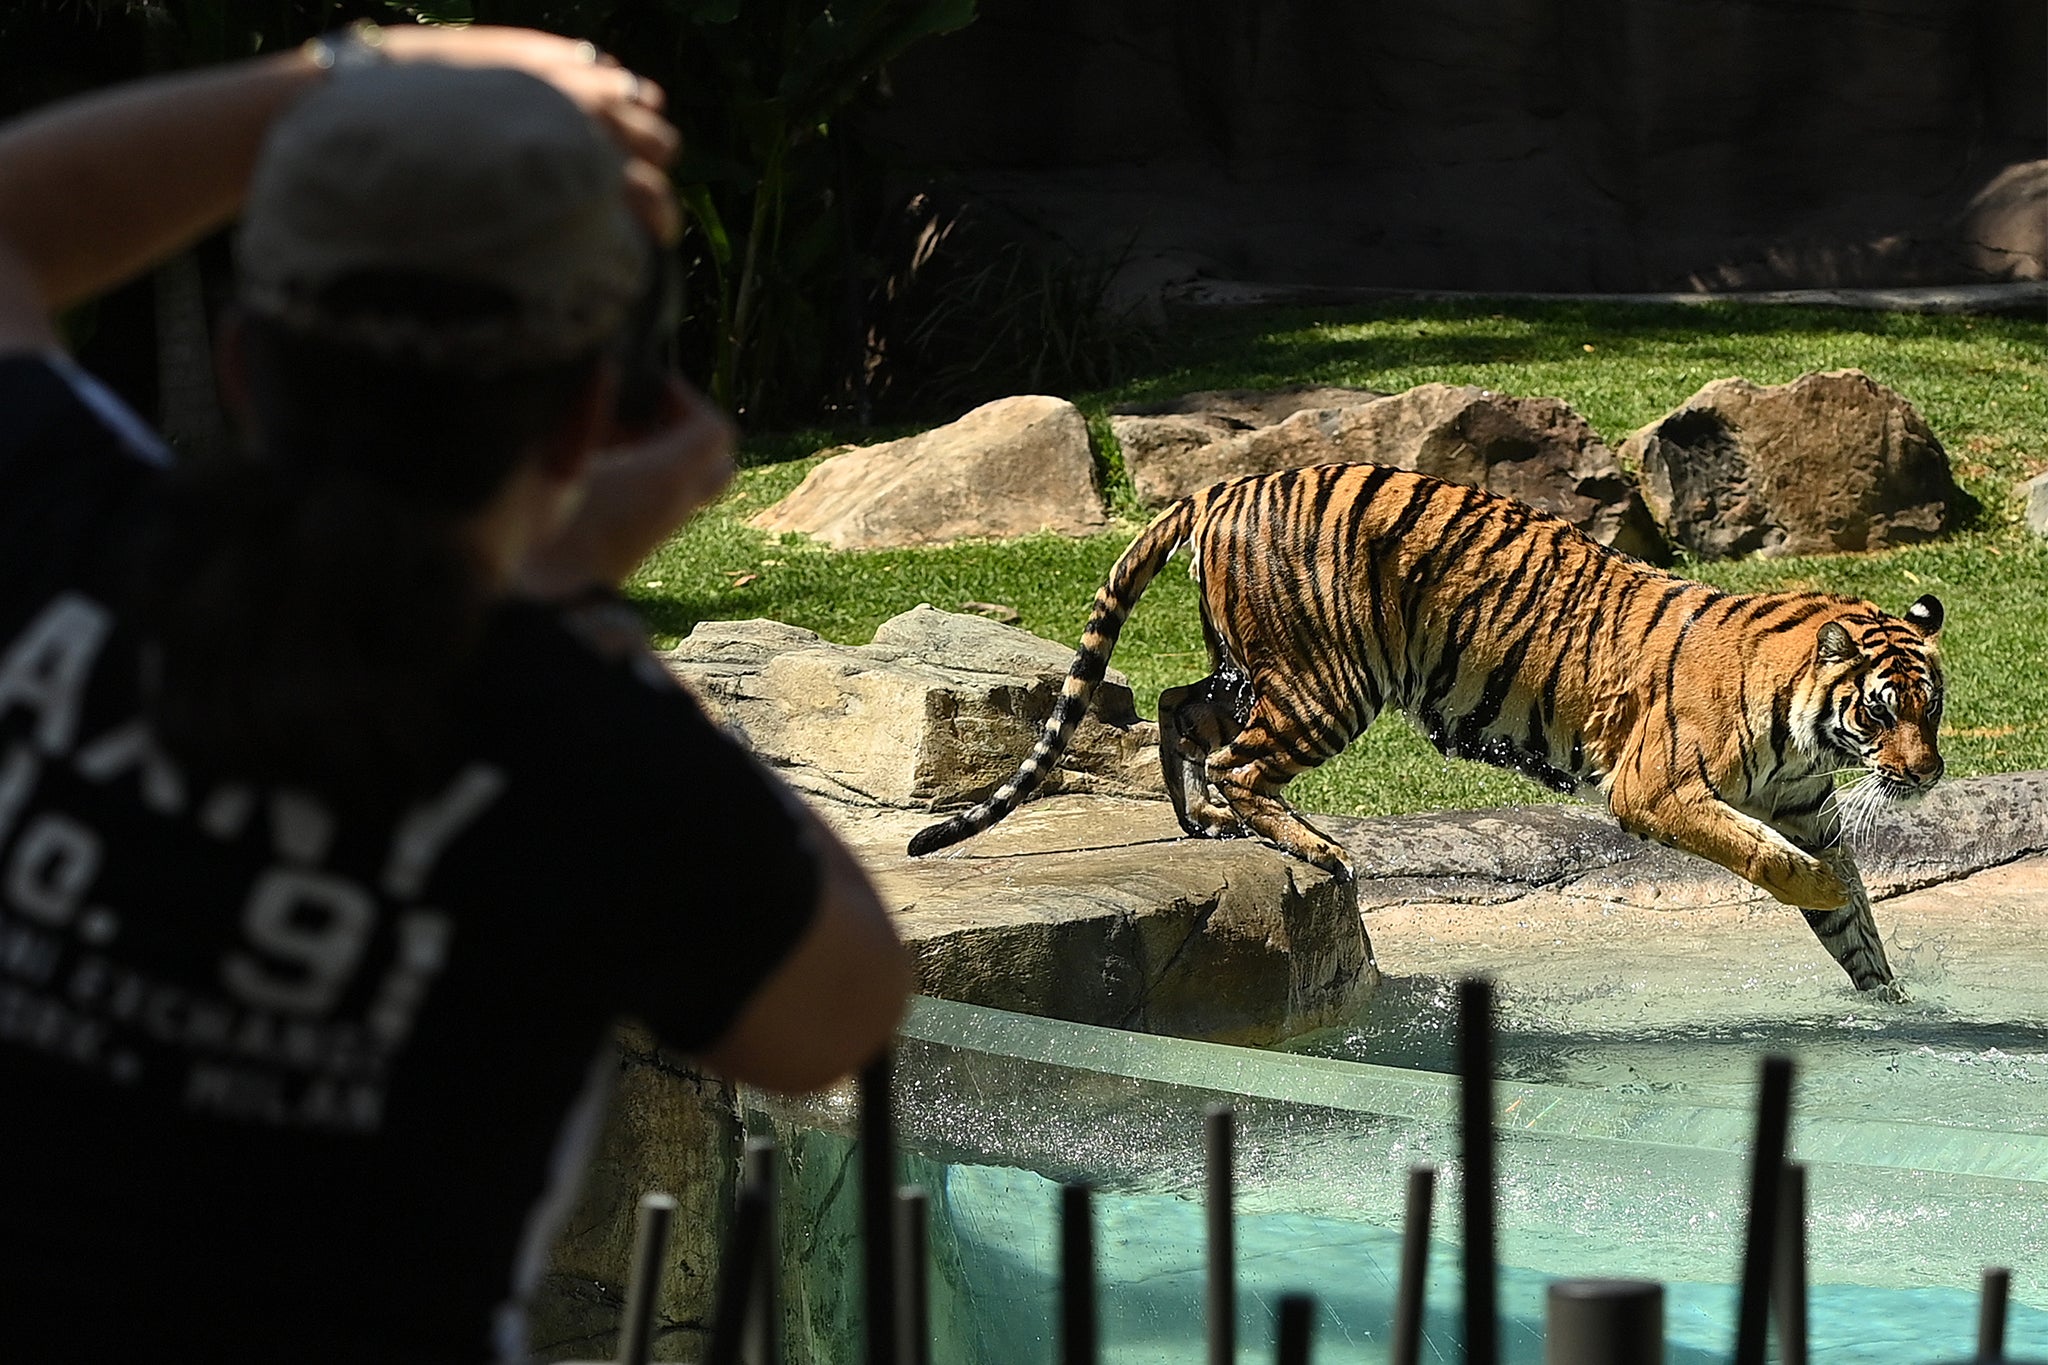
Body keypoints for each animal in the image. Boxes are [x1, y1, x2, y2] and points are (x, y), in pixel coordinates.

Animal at [913, 458, 1949, 994]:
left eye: (1932, 708)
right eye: (1884, 709)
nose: (1927, 773)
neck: (1809, 724)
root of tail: (1228, 485)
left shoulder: (1807, 803)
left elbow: (1855, 927)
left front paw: (1891, 1006)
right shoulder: (1657, 789)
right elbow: (1777, 859)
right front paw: (1821, 889)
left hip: (1255, 666)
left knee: (1179, 706)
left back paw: (1198, 819)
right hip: (1328, 680)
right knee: (1243, 762)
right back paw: (1315, 847)